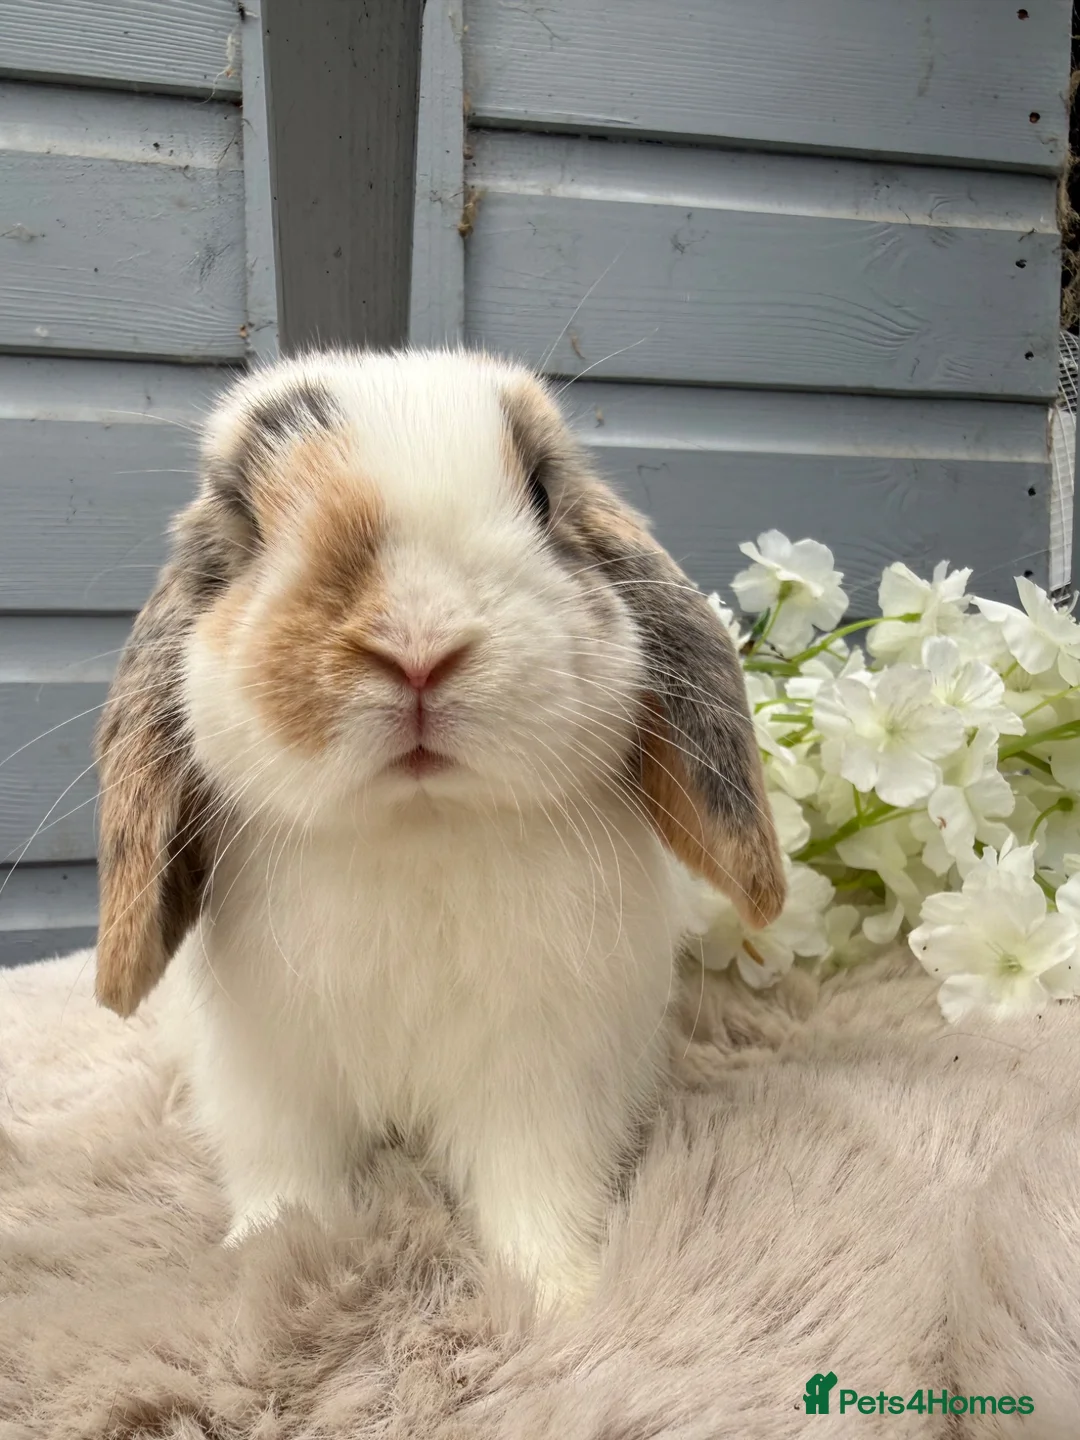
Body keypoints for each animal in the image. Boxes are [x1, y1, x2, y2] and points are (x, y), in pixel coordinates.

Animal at [93, 348, 784, 1307]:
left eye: (541, 492)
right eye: (249, 523)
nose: (417, 647)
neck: (419, 831)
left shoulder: (542, 1082)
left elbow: (536, 1194)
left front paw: (564, 1298)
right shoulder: (270, 1081)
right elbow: (285, 1182)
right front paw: (263, 1261)